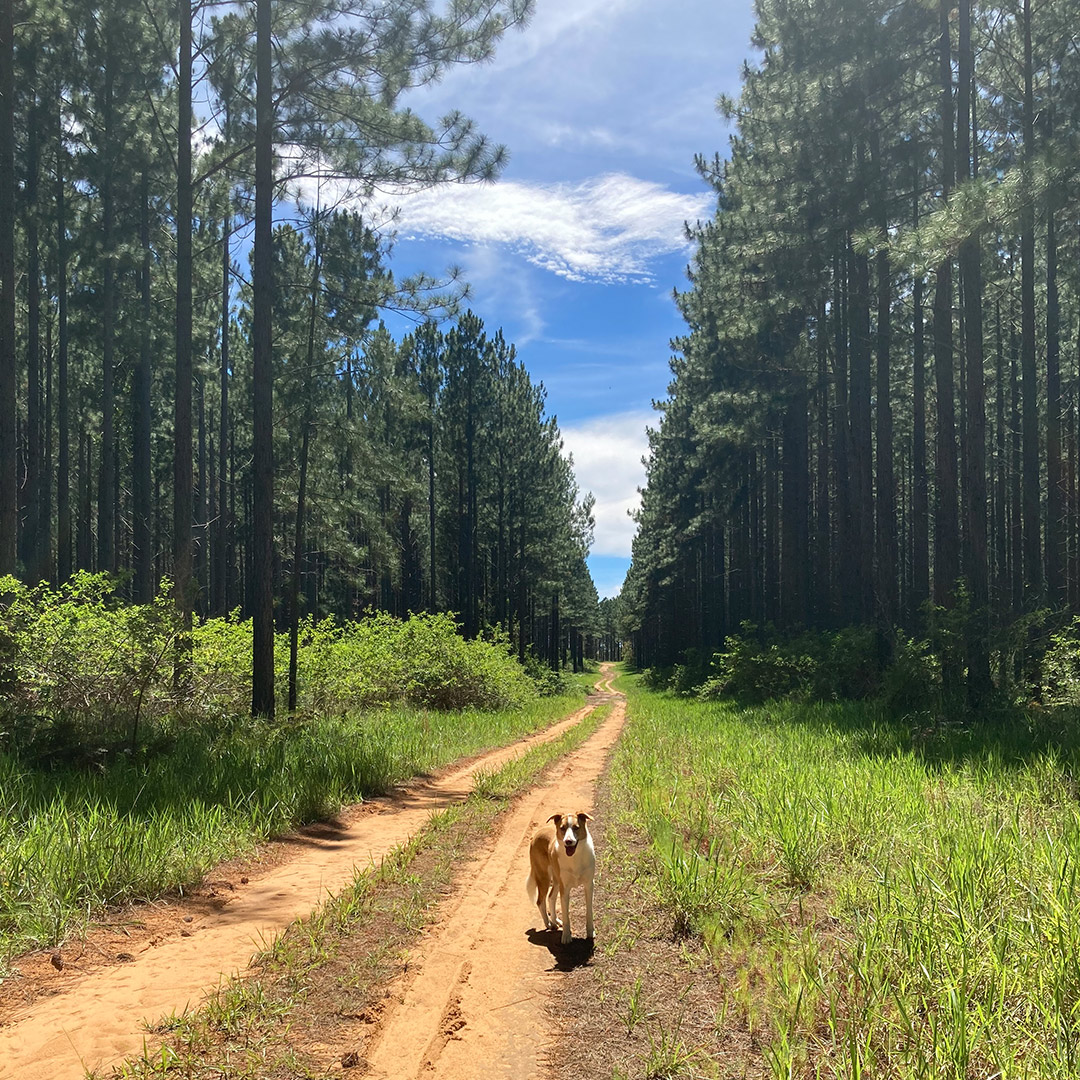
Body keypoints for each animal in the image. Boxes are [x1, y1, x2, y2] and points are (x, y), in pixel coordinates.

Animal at [527, 812, 596, 946]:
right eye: (562, 828)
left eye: (576, 827)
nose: (568, 841)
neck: (575, 857)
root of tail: (537, 834)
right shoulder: (565, 889)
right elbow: (566, 915)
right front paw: (566, 936)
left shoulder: (589, 885)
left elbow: (589, 911)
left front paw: (590, 932)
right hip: (544, 878)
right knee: (540, 901)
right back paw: (548, 923)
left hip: (556, 880)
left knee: (551, 897)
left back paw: (555, 921)